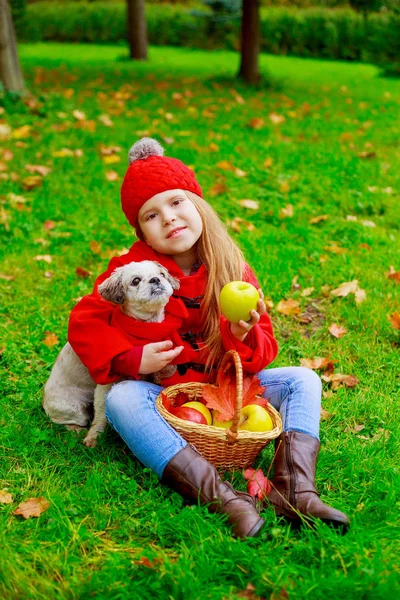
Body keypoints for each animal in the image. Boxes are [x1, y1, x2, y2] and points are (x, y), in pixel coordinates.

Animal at [43, 262, 180, 446]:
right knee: (67, 421)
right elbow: (101, 414)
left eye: (162, 274)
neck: (146, 328)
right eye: (136, 280)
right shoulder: (105, 387)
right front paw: (94, 437)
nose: (155, 279)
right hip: (72, 408)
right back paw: (76, 430)